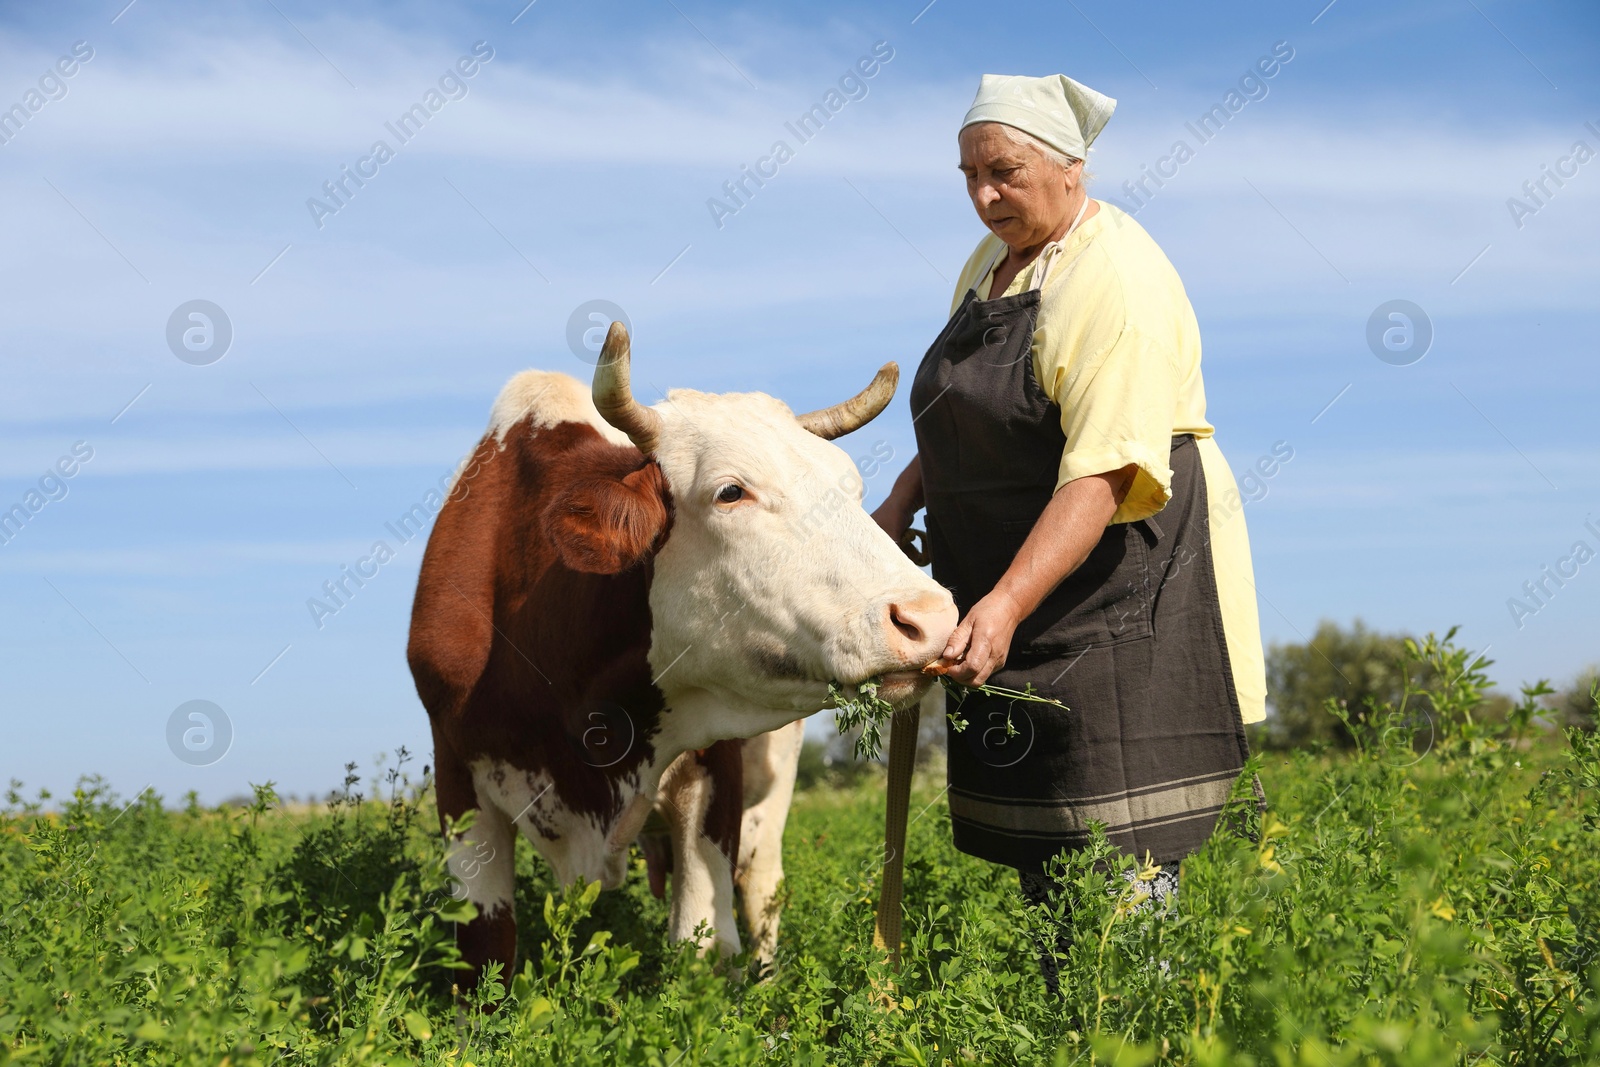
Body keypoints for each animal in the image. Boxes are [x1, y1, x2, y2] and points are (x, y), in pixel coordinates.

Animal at [406, 321, 953, 991]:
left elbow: (704, 946)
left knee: (761, 885)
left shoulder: (715, 769)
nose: (932, 618)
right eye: (730, 492)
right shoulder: (457, 777)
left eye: (852, 490)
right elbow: (484, 951)